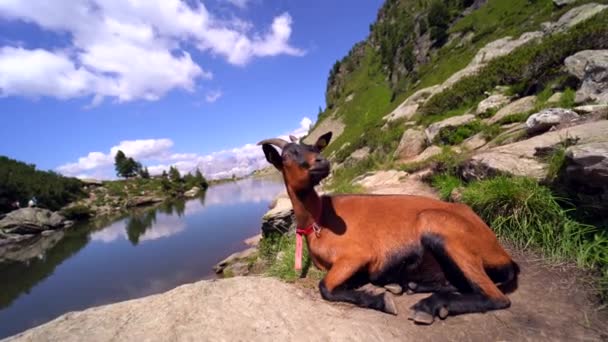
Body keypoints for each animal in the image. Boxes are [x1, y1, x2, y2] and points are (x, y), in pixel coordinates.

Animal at [258, 132, 520, 324]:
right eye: (289, 154)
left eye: (316, 149)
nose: (322, 162)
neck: (319, 219)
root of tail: (503, 254)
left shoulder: (356, 255)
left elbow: (325, 287)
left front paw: (382, 300)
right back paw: (411, 286)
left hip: (438, 225)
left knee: (495, 297)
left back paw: (430, 305)